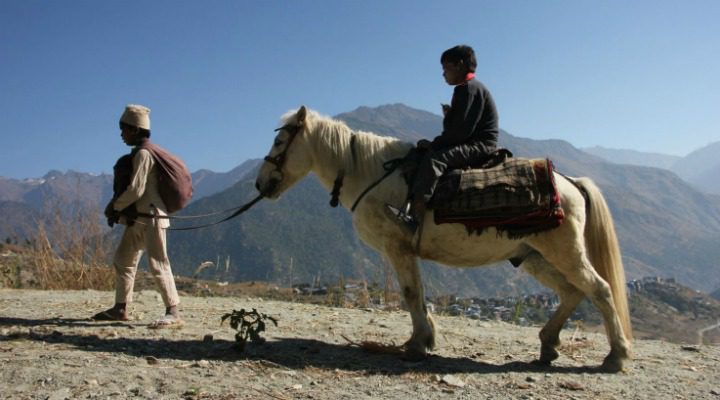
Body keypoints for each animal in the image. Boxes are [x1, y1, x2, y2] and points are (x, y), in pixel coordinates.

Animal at [256, 106, 632, 372]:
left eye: (279, 142)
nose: (261, 183)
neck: (373, 173)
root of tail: (571, 181)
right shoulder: (406, 252)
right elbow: (420, 295)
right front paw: (425, 338)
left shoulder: (398, 248)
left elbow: (411, 294)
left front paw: (416, 345)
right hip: (534, 256)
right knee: (572, 291)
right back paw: (548, 345)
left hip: (564, 252)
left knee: (599, 289)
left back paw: (616, 356)